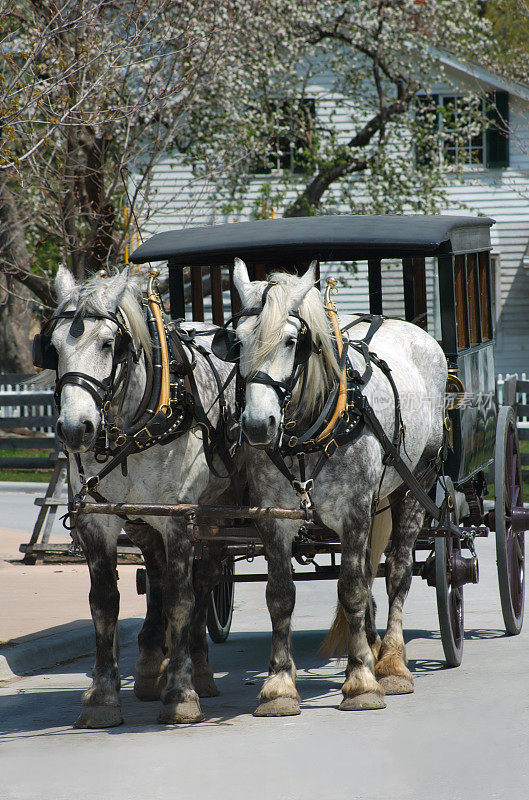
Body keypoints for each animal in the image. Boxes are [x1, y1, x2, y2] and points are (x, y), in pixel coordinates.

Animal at [49, 268, 239, 724]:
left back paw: (198, 669)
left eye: (107, 343)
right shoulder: (98, 519)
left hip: (214, 514)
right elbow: (105, 603)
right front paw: (102, 696)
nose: (75, 428)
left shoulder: (179, 516)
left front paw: (182, 693)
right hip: (142, 521)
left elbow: (183, 600)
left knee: (203, 578)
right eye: (54, 347)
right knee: (157, 574)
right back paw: (154, 665)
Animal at [231, 260, 446, 716]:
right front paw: (279, 685)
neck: (310, 434)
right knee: (368, 573)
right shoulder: (273, 518)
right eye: (236, 341)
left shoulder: (354, 512)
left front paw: (362, 679)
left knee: (396, 572)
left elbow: (351, 589)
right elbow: (281, 595)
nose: (258, 425)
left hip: (415, 484)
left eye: (291, 340)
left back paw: (392, 663)